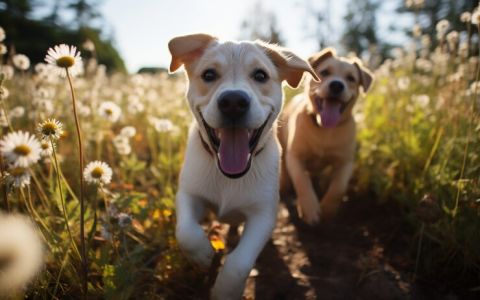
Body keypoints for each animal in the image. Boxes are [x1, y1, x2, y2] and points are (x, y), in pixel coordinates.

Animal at [169, 34, 318, 298]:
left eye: (260, 75)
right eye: (209, 74)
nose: (233, 101)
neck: (229, 176)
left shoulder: (263, 216)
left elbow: (238, 263)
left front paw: (224, 291)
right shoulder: (189, 194)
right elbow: (186, 231)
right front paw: (203, 255)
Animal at [278, 47, 376, 224]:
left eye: (351, 78)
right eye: (324, 72)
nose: (337, 85)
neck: (324, 129)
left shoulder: (346, 162)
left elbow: (338, 187)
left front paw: (328, 210)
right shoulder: (295, 156)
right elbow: (302, 180)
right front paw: (309, 208)